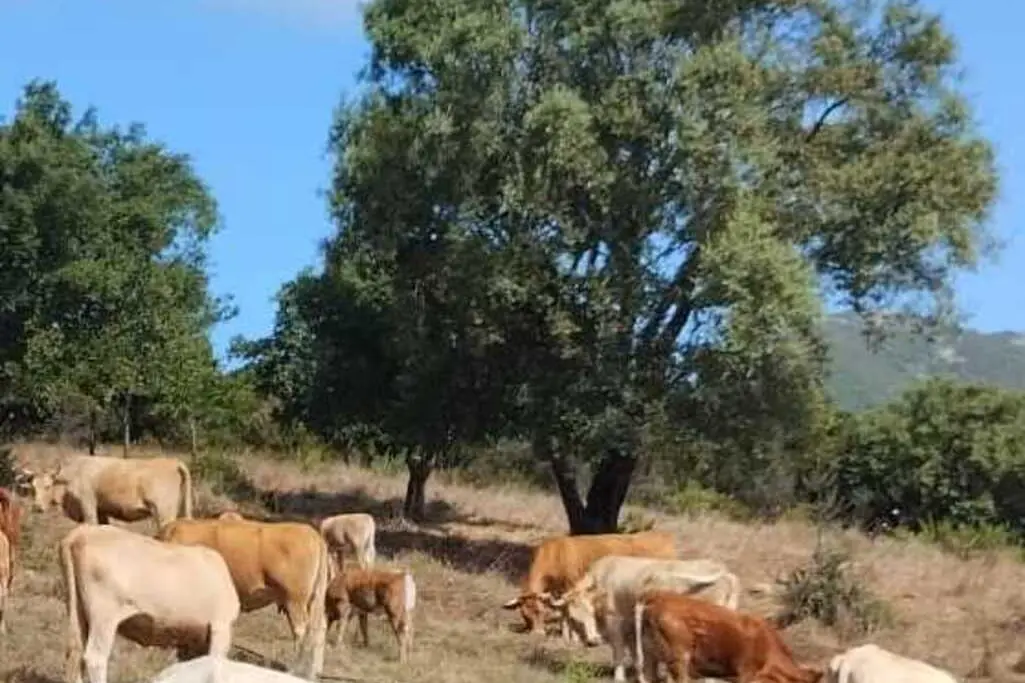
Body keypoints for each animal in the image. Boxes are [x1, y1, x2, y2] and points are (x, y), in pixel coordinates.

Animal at [28, 454, 193, 530]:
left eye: (47, 486)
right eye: (33, 487)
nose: (37, 507)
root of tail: (172, 461)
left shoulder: (88, 508)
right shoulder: (102, 511)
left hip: (164, 513)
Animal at [59, 524, 240, 683]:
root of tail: (83, 532)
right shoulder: (220, 626)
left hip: (78, 611)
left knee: (74, 652)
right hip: (104, 614)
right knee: (95, 657)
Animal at [156, 516, 330, 680]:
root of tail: (312, 534)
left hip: (295, 600)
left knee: (301, 631)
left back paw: (294, 670)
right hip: (313, 599)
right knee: (319, 629)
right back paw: (314, 672)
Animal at [501, 530, 677, 639]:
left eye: (541, 612)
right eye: (525, 615)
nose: (537, 634)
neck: (555, 553)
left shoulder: (571, 586)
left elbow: (566, 611)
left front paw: (570, 636)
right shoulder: (559, 591)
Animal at [545, 555, 741, 682]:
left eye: (588, 612)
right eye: (573, 617)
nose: (593, 641)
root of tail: (724, 573)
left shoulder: (615, 622)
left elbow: (619, 651)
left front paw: (620, 677)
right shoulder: (633, 626)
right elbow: (637, 653)